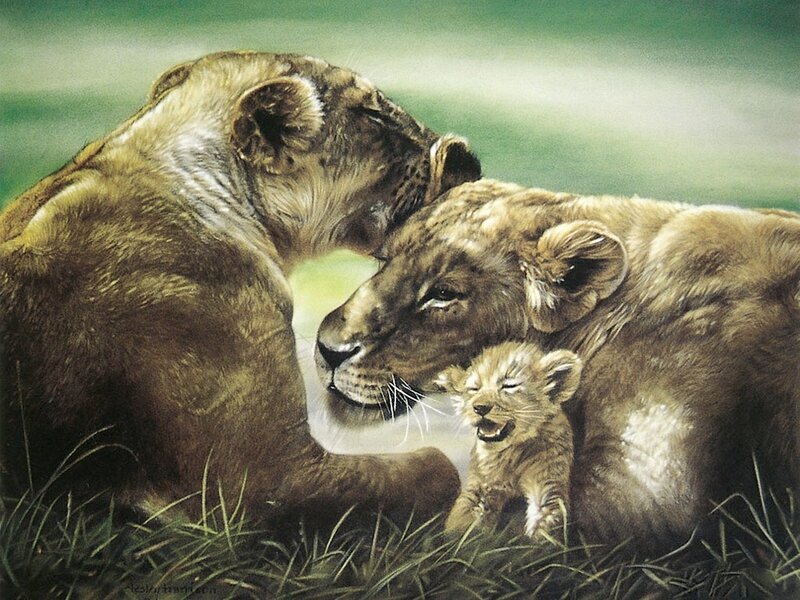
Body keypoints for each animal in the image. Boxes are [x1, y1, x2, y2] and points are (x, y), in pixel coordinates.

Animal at [437, 341, 580, 541]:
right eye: (474, 389)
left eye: (509, 386)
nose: (480, 407)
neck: (512, 452)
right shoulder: (482, 486)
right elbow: (464, 518)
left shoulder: (547, 483)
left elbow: (545, 520)